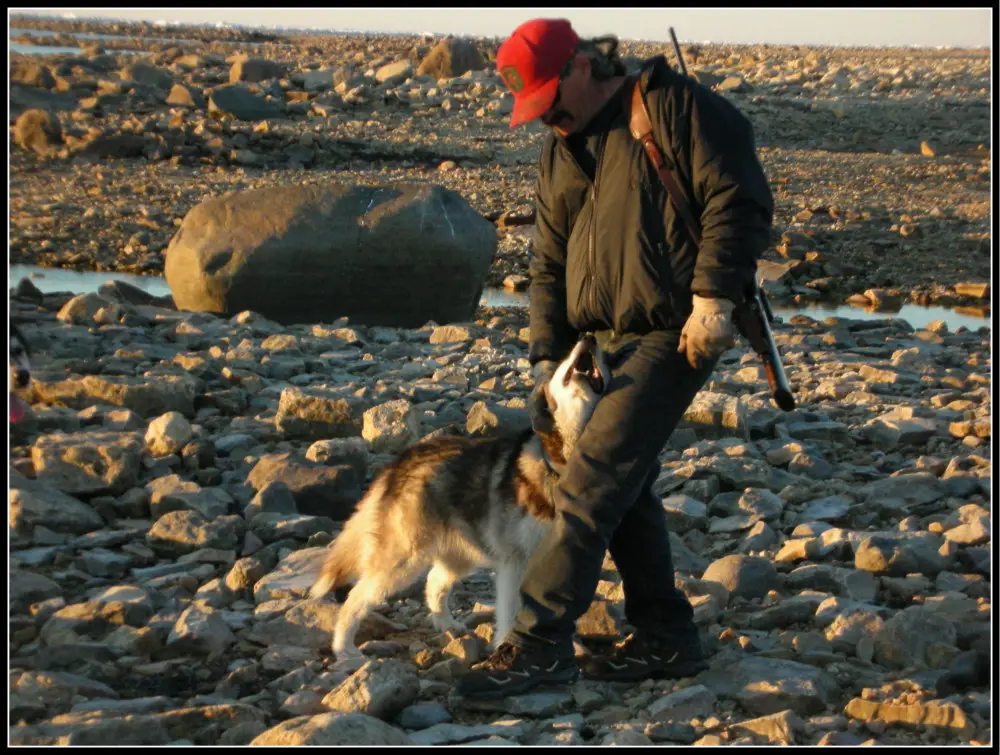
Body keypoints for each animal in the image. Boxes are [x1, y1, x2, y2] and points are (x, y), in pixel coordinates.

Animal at [310, 336, 608, 660]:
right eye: (564, 358)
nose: (590, 337)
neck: (563, 463)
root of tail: (399, 461)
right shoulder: (515, 561)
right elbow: (510, 611)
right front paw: (506, 647)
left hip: (459, 552)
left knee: (434, 582)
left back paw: (446, 623)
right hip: (403, 558)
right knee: (357, 596)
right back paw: (344, 648)